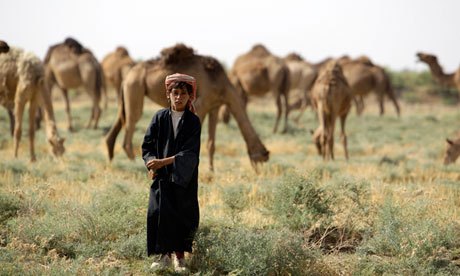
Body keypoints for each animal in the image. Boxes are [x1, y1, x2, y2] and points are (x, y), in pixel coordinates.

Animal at [104, 43, 270, 170]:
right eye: (262, 159)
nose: (259, 171)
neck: (221, 84)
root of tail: (128, 76)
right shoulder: (201, 105)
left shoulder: (215, 107)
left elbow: (211, 144)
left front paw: (212, 171)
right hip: (135, 87)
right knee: (132, 121)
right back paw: (135, 165)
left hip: (127, 93)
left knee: (120, 121)